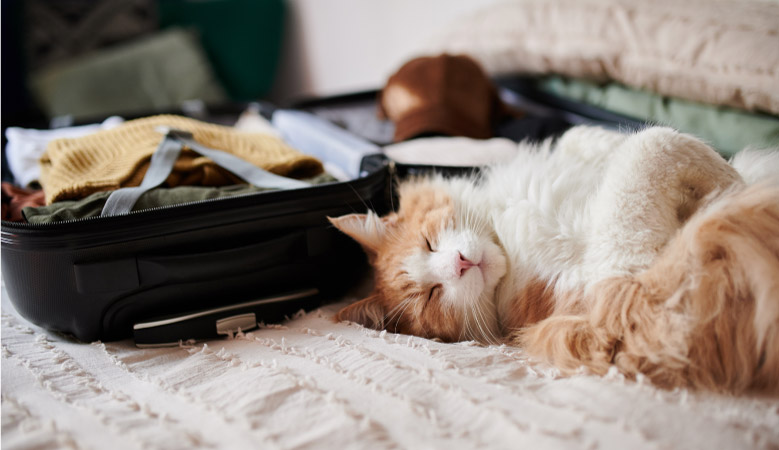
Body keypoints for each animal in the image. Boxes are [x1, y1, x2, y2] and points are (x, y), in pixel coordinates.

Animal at [330, 125, 779, 392]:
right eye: (431, 296)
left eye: (427, 242)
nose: (459, 263)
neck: (507, 241)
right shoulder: (629, 301)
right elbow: (651, 147)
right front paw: (737, 186)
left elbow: (592, 138)